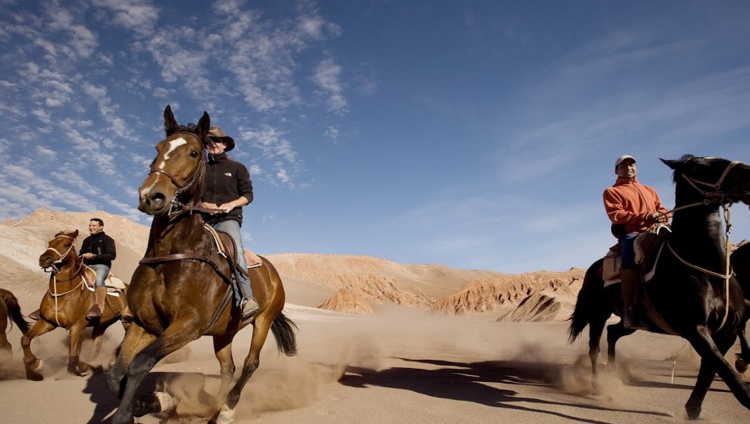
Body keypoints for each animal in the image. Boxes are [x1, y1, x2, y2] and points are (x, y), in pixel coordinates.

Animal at [21, 232, 129, 380]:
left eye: (66, 244)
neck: (63, 294)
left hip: (127, 321)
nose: (44, 259)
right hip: (102, 323)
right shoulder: (47, 322)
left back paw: (111, 362)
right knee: (97, 344)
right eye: (50, 242)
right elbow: (25, 339)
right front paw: (36, 364)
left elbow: (73, 355)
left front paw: (83, 369)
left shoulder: (77, 327)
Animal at [107, 106, 298, 424]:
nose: (151, 196)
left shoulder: (188, 325)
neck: (173, 255)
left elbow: (139, 364)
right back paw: (213, 408)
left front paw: (140, 408)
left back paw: (226, 410)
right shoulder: (142, 323)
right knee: (228, 368)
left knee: (250, 363)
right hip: (224, 333)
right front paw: (149, 403)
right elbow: (117, 372)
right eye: (158, 148)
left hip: (263, 320)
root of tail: (274, 274)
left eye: (195, 153)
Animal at [568, 154, 750, 420]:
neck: (706, 267)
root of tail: (593, 268)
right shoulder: (694, 327)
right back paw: (597, 384)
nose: (748, 174)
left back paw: (612, 372)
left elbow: (712, 369)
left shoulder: (728, 331)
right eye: (699, 167)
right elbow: (727, 374)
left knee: (613, 333)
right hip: (598, 313)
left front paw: (693, 408)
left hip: (634, 322)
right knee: (594, 347)